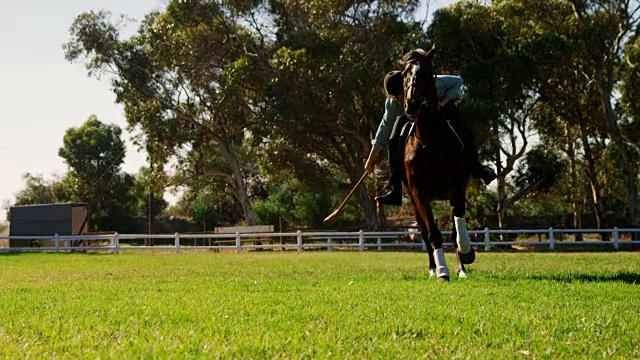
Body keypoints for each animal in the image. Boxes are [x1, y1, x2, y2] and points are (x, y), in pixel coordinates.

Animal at [400, 46, 476, 280]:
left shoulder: (458, 185)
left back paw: (462, 268)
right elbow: (432, 233)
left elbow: (457, 226)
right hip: (413, 201)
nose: (412, 104)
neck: (432, 141)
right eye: (404, 74)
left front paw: (466, 253)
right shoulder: (419, 192)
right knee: (425, 232)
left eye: (426, 73)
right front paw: (442, 271)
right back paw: (434, 269)